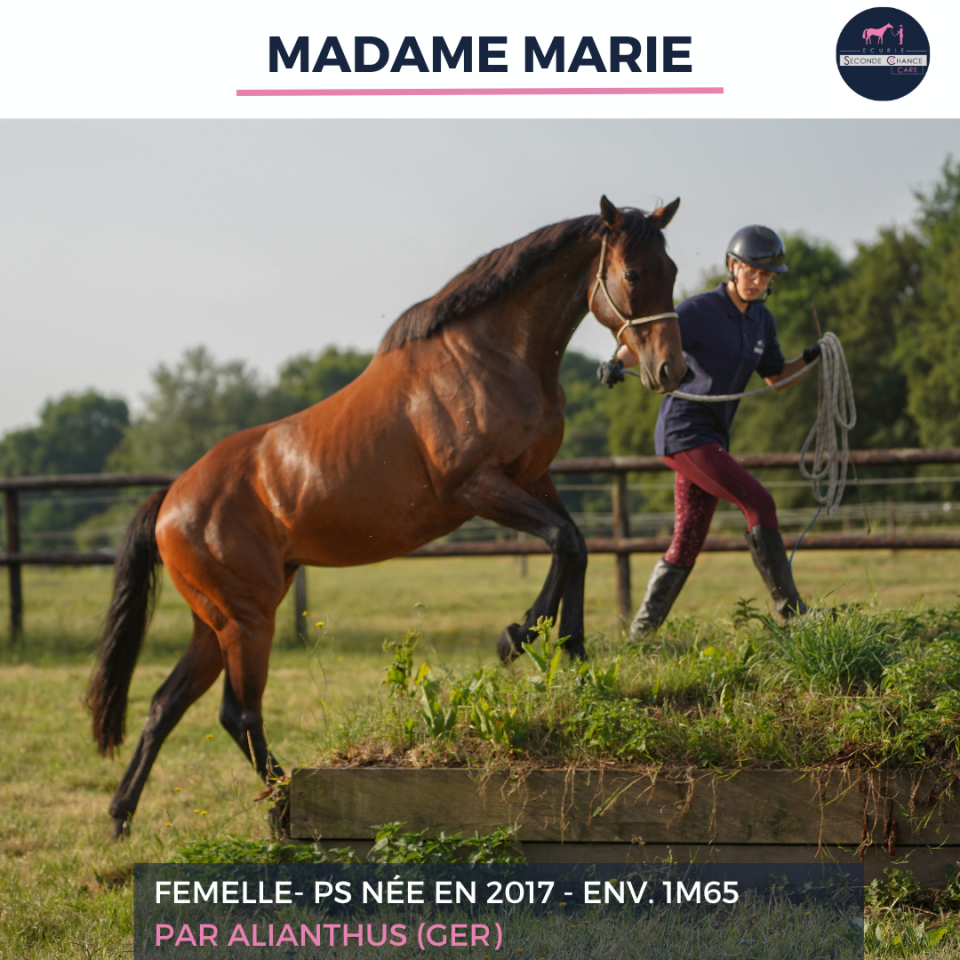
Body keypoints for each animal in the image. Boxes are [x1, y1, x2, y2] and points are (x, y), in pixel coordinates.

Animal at [86, 195, 686, 837]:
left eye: (672, 270)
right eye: (633, 274)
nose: (671, 370)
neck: (492, 356)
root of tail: (171, 497)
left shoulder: (533, 478)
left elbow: (575, 542)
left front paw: (569, 647)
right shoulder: (478, 487)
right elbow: (563, 540)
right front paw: (518, 636)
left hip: (216, 621)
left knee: (166, 703)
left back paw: (122, 817)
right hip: (247, 620)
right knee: (238, 714)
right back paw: (282, 812)